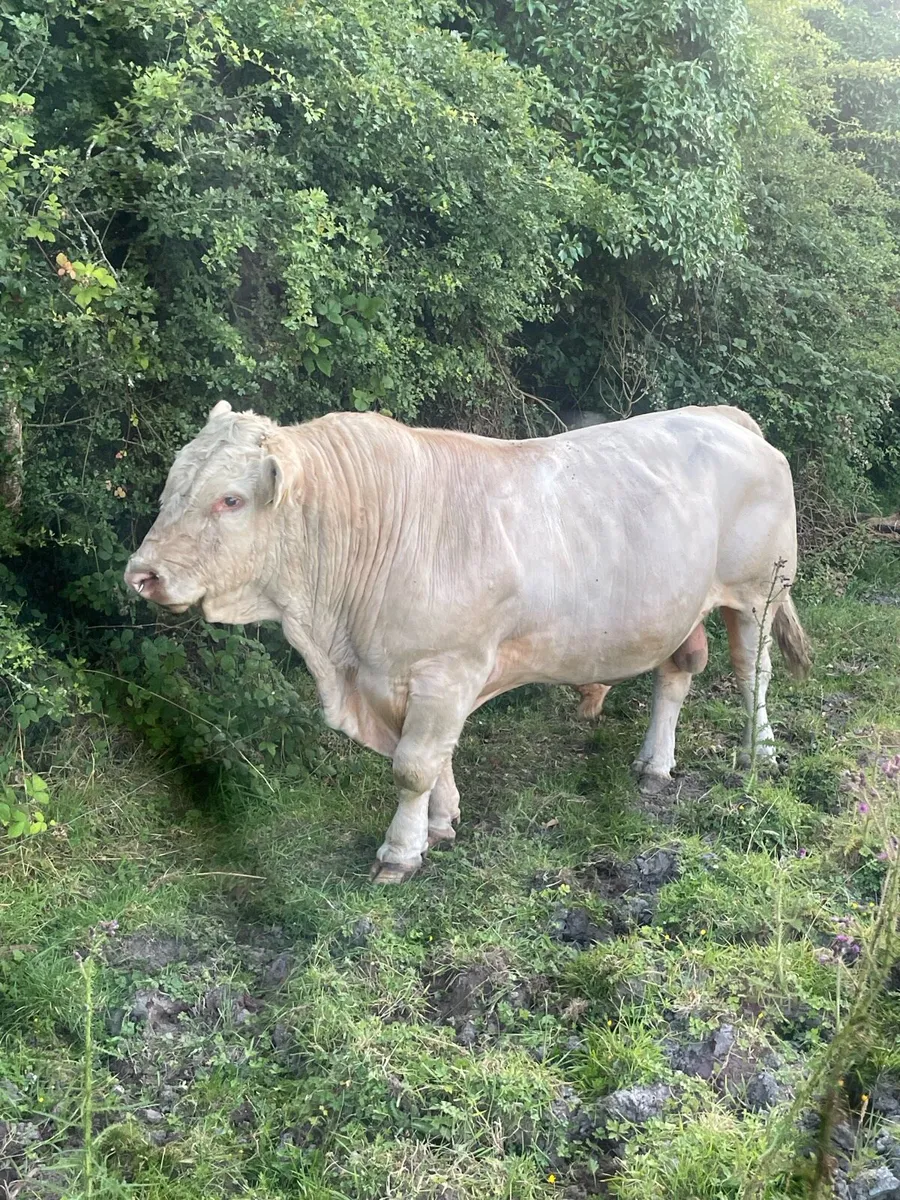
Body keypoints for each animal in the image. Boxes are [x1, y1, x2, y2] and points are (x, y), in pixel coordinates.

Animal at [125, 401, 810, 883]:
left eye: (230, 499)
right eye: (171, 486)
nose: (142, 574)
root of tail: (722, 415)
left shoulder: (447, 667)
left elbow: (412, 764)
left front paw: (400, 852)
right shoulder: (412, 677)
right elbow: (435, 757)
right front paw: (442, 820)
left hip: (759, 592)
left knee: (751, 673)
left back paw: (760, 752)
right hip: (675, 607)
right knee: (678, 671)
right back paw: (653, 765)